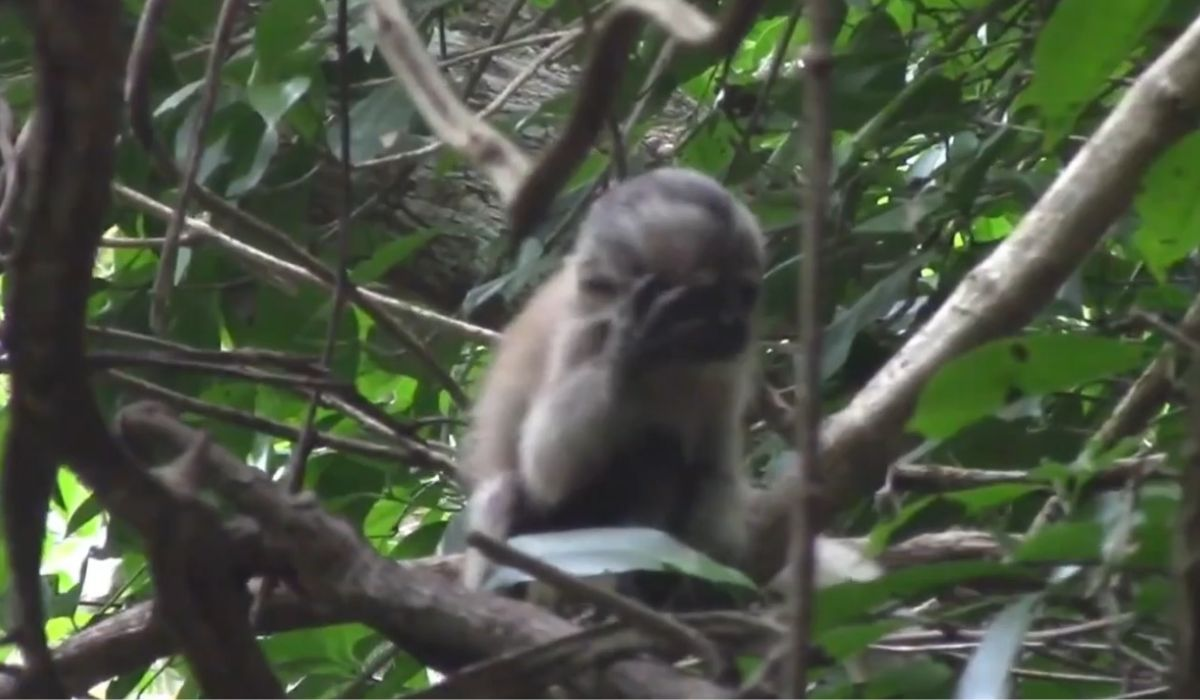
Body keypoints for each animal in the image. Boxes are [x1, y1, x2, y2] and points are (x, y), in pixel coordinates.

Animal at [456, 167, 765, 593]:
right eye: (705, 299)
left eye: (744, 294)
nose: (735, 323)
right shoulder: (585, 331)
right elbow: (547, 470)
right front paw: (631, 348)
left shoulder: (727, 370)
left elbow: (713, 473)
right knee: (511, 490)